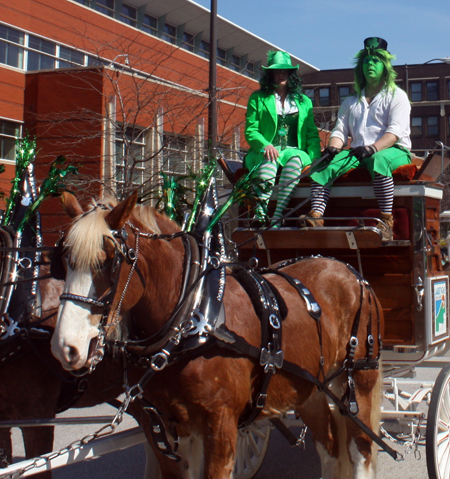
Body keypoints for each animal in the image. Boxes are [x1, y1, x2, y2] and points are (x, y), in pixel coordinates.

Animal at [51, 192, 384, 479]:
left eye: (109, 260)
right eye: (64, 257)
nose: (65, 347)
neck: (191, 316)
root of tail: (349, 271)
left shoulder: (220, 423)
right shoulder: (163, 428)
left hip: (357, 381)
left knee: (361, 450)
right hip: (310, 388)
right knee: (330, 449)